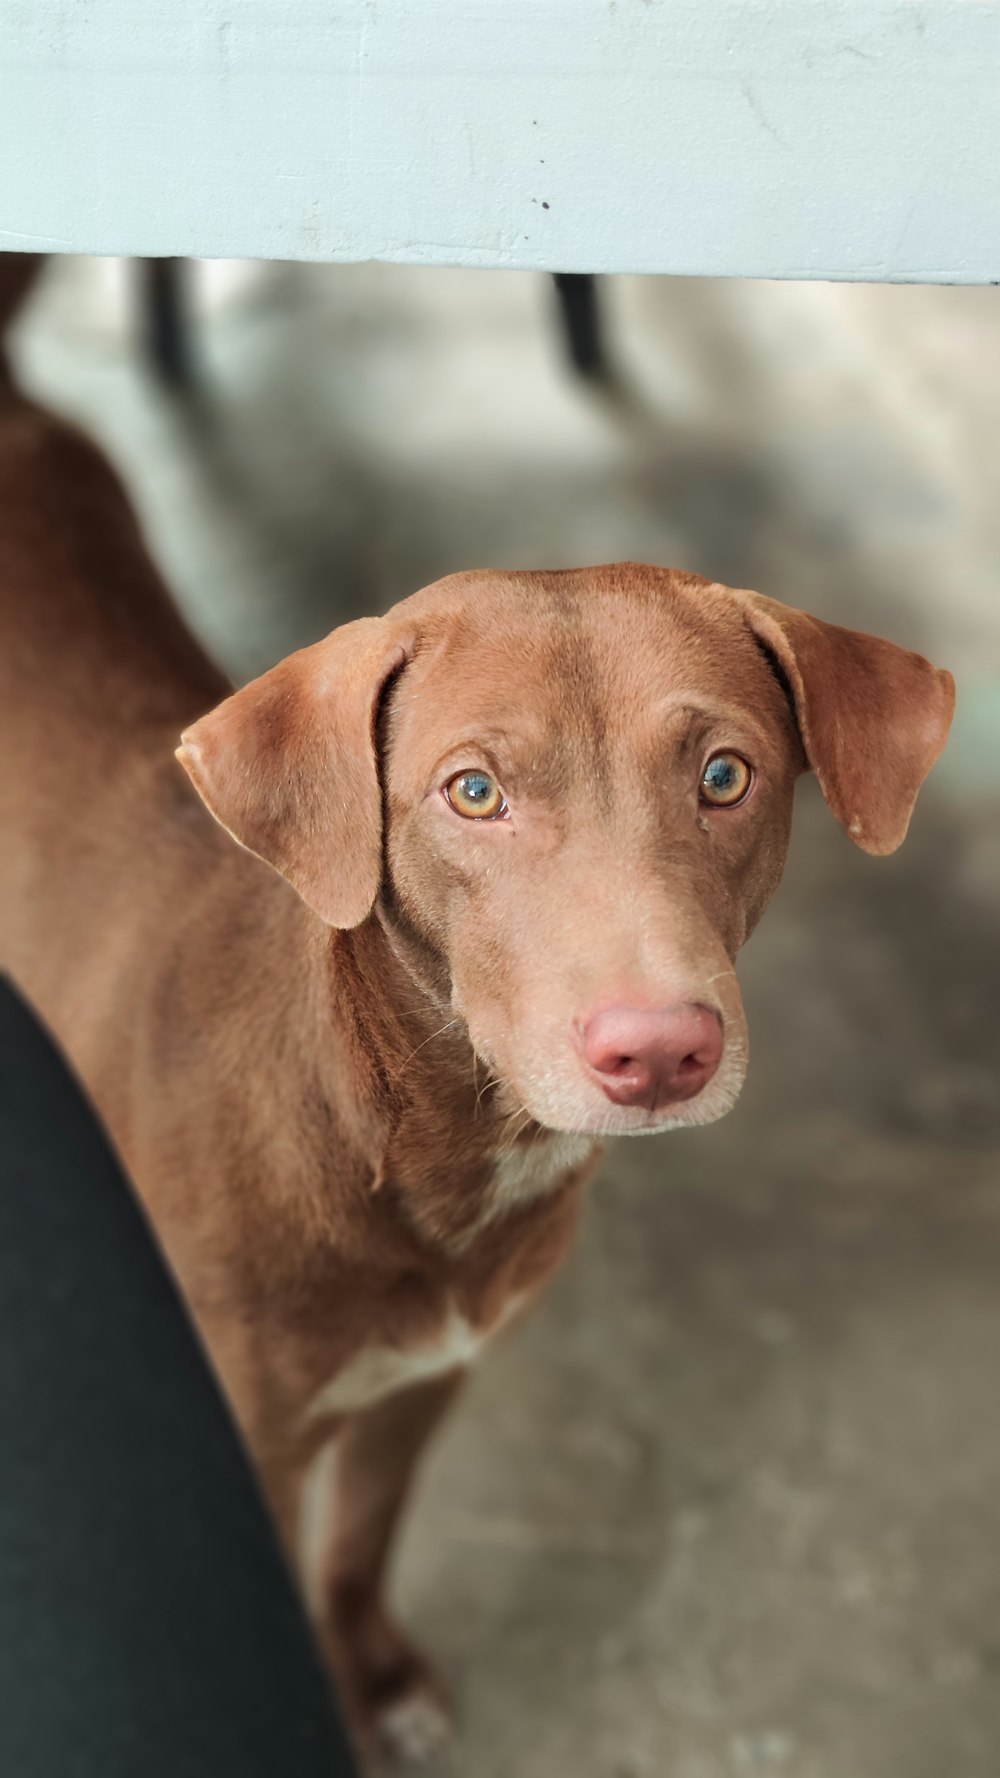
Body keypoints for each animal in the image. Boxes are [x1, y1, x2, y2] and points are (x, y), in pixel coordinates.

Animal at [0, 259, 946, 1763]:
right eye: (474, 791)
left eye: (726, 774)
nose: (659, 1048)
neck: (410, 1144)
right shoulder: (250, 1443)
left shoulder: (423, 1380)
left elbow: (358, 1546)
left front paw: (373, 1674)